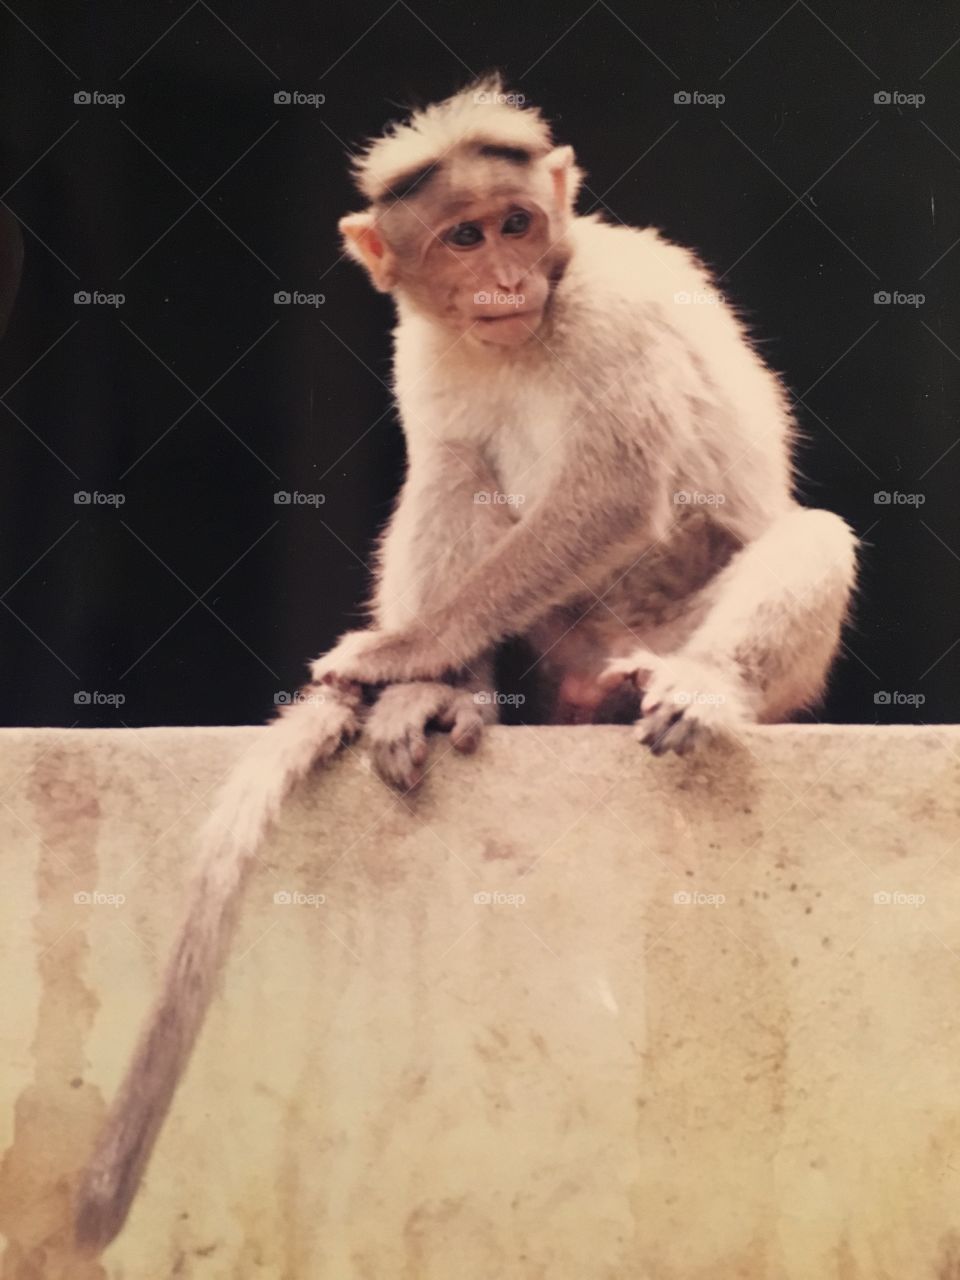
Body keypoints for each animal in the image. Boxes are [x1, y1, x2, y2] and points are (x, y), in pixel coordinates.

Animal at [75, 74, 857, 1250]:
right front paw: (419, 673)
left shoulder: (606, 308)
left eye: (519, 225)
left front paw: (398, 648)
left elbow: (616, 488)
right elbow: (449, 465)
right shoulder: (428, 343)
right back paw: (444, 698)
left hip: (664, 628)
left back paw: (695, 686)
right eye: (462, 236)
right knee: (459, 472)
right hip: (564, 633)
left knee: (805, 536)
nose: (503, 278)